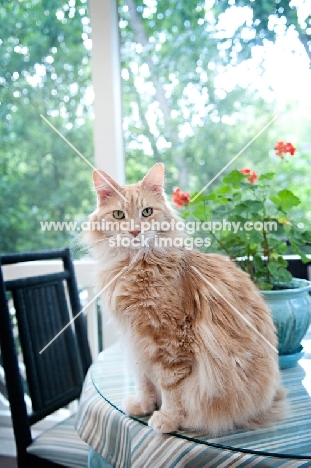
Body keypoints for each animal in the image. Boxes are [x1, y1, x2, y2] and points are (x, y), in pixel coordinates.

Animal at [85, 164, 286, 436]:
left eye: (146, 212)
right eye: (118, 215)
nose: (135, 231)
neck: (133, 265)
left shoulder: (170, 342)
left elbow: (171, 388)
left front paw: (167, 419)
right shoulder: (135, 341)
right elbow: (144, 380)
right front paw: (144, 405)